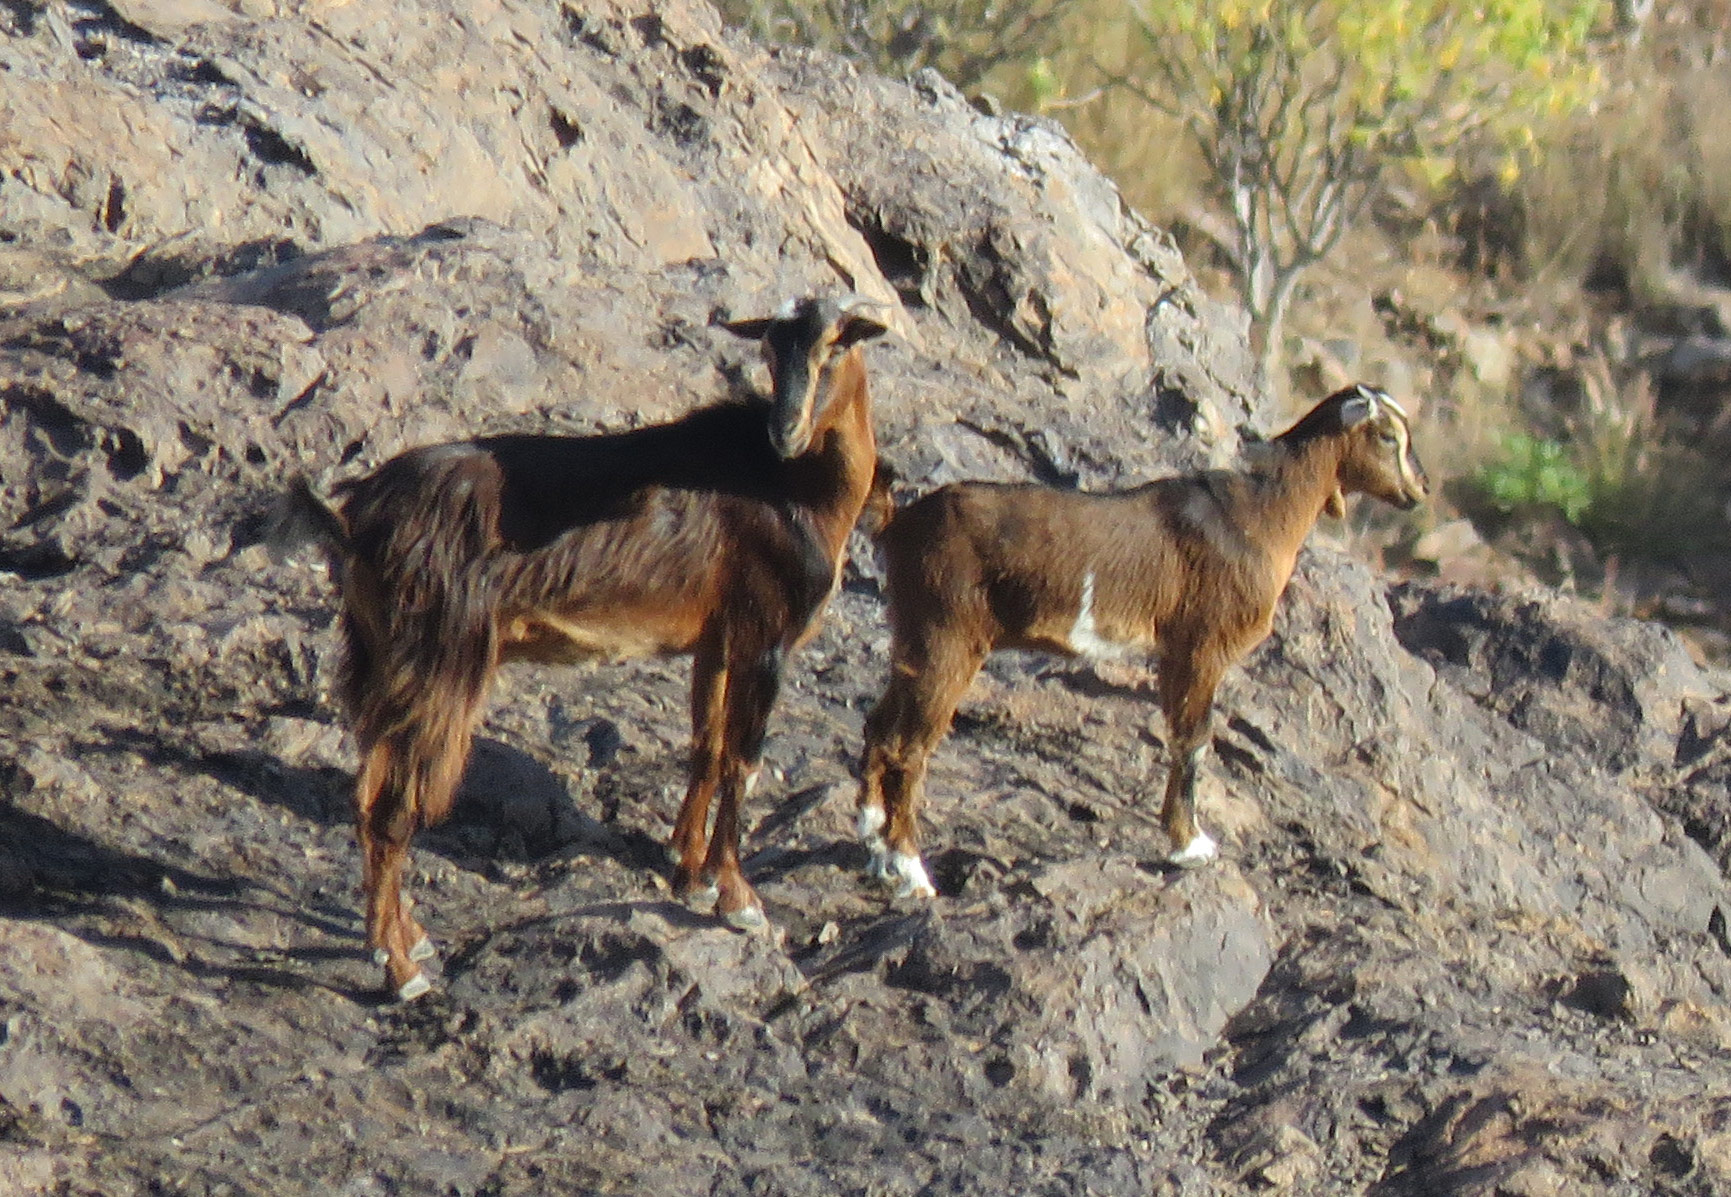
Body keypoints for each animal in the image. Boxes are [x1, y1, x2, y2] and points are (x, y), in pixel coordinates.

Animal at [272, 295, 889, 1000]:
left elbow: (706, 747)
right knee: (394, 809)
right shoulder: (766, 637)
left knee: (366, 791)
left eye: (835, 345)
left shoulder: (717, 638)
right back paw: (402, 971)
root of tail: (357, 518)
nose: (785, 431)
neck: (792, 490)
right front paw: (739, 901)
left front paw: (689, 874)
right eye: (767, 350)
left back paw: (405, 938)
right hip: (439, 662)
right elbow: (743, 761)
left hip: (381, 659)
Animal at [856, 384, 1428, 897]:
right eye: (1387, 436)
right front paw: (1191, 846)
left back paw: (875, 844)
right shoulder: (1202, 646)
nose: (1419, 490)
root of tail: (897, 523)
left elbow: (1181, 736)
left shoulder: (1174, 653)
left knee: (880, 726)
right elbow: (1194, 739)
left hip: (912, 636)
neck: (1261, 512)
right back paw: (911, 872)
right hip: (948, 638)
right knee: (910, 747)